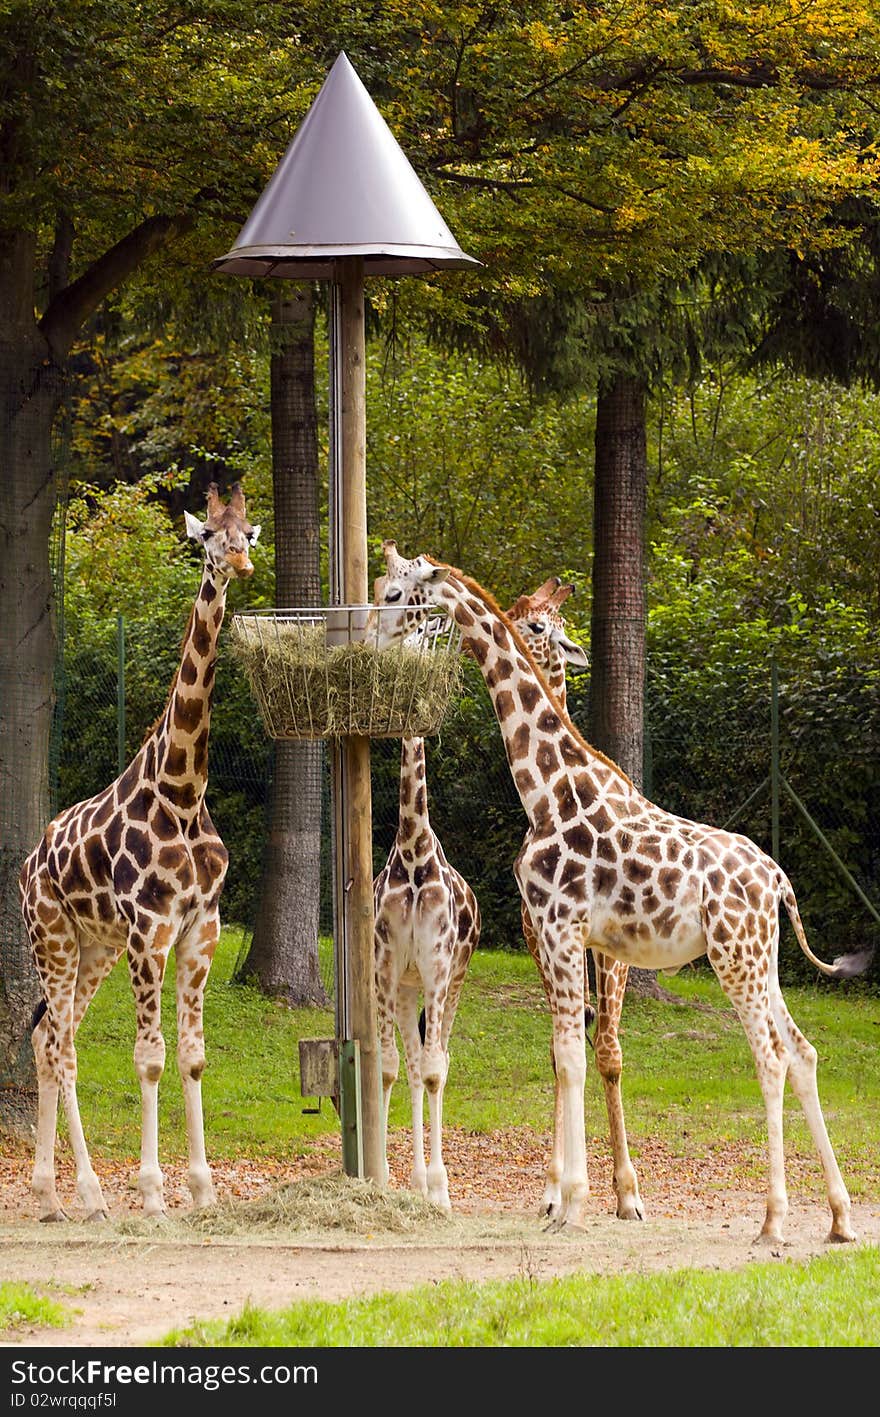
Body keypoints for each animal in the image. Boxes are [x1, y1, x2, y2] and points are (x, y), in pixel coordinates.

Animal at [18, 481, 259, 1224]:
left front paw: (203, 1188)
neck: (182, 792)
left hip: (92, 947)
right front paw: (154, 1192)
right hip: (53, 938)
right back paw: (92, 1193)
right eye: (207, 536)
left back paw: (50, 1195)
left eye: (248, 533)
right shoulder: (149, 931)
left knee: (46, 1037)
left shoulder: (201, 928)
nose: (238, 564)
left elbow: (192, 1056)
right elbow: (149, 1056)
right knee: (62, 1044)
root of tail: (27, 866)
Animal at [371, 541, 872, 1241]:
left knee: (770, 1059)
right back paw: (839, 1217)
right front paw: (569, 1199)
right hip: (761, 958)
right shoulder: (559, 937)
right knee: (802, 1052)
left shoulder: (562, 930)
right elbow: (568, 1055)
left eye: (395, 594)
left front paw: (573, 1202)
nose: (369, 637)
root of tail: (777, 879)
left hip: (733, 957)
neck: (548, 792)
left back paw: (773, 1221)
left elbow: (573, 1056)